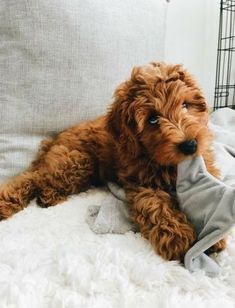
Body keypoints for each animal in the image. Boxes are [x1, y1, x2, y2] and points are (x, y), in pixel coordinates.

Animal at [0, 62, 226, 260]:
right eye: (153, 119)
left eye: (186, 105)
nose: (190, 145)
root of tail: (54, 139)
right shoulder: (142, 184)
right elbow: (158, 207)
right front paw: (179, 238)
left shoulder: (206, 162)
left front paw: (213, 236)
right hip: (76, 161)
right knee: (33, 177)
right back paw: (13, 201)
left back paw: (48, 196)